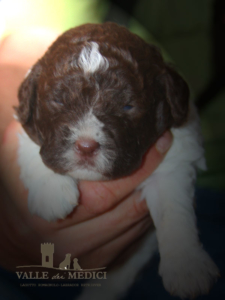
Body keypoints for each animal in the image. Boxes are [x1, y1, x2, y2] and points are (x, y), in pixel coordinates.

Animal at [16, 22, 220, 298]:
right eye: (58, 100)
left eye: (127, 106)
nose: (86, 146)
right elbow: (32, 144)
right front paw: (52, 192)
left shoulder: (175, 159)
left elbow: (173, 208)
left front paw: (187, 267)